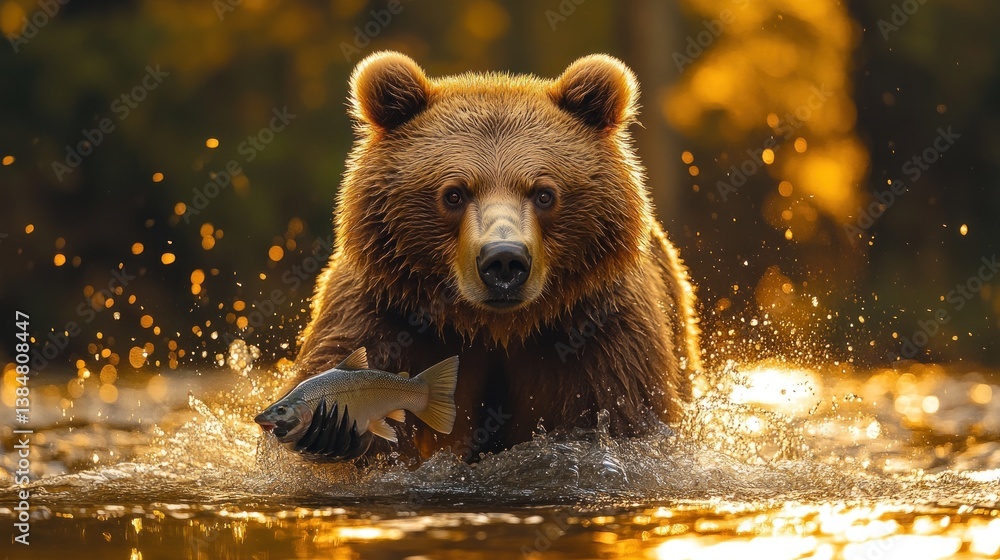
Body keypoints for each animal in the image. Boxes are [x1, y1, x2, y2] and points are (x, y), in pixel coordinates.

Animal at [292, 51, 700, 461]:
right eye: (454, 194)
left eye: (544, 193)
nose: (504, 260)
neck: (494, 327)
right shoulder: (385, 315)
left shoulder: (600, 332)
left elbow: (619, 412)